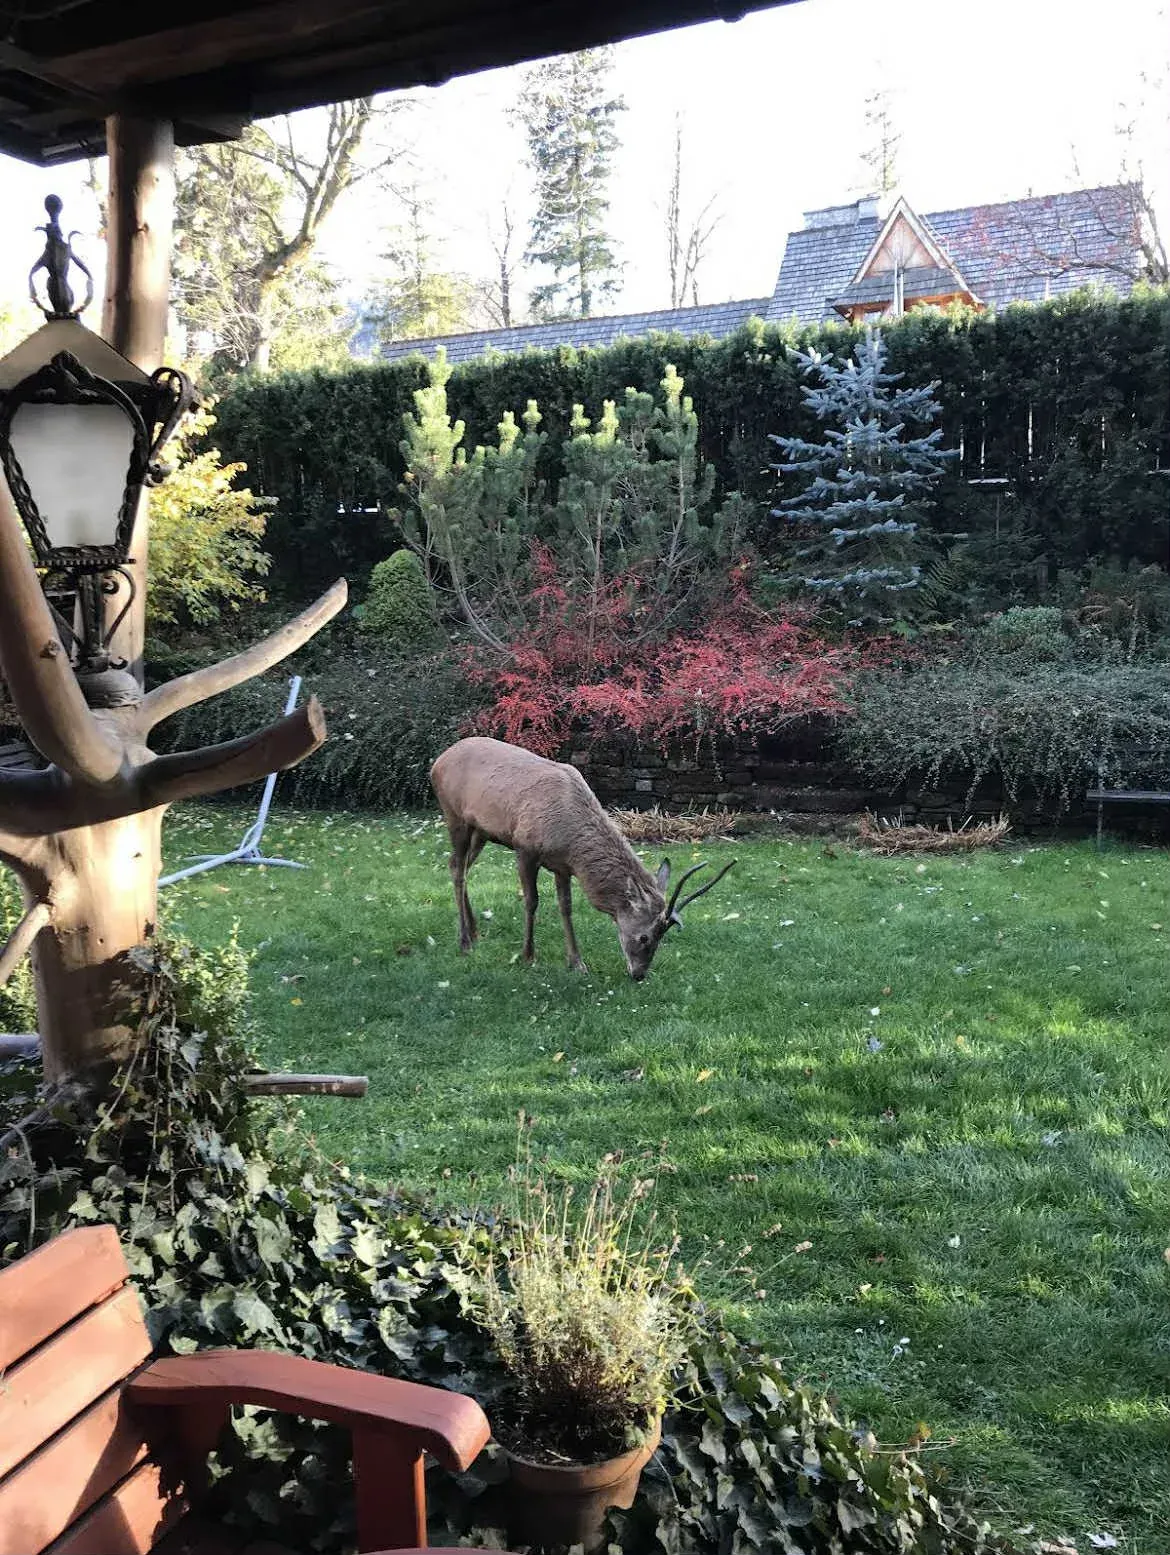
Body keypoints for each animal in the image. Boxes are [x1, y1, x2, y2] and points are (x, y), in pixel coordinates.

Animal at [430, 736, 736, 980]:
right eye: (645, 937)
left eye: (663, 936)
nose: (639, 974)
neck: (569, 838)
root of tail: (439, 760)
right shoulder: (524, 847)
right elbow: (531, 901)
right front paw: (528, 955)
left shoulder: (562, 865)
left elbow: (566, 907)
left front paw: (577, 963)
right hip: (454, 816)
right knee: (458, 869)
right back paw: (465, 942)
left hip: (480, 831)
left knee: (460, 866)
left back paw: (475, 931)